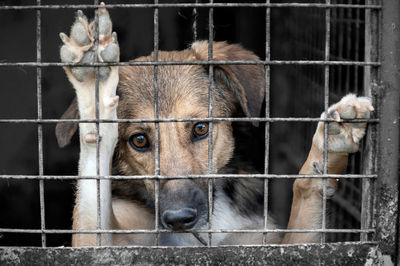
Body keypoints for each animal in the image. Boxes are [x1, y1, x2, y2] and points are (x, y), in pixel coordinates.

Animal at [54, 3, 374, 246]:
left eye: (200, 128)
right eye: (139, 140)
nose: (179, 219)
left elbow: (304, 189)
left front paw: (328, 146)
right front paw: (95, 89)